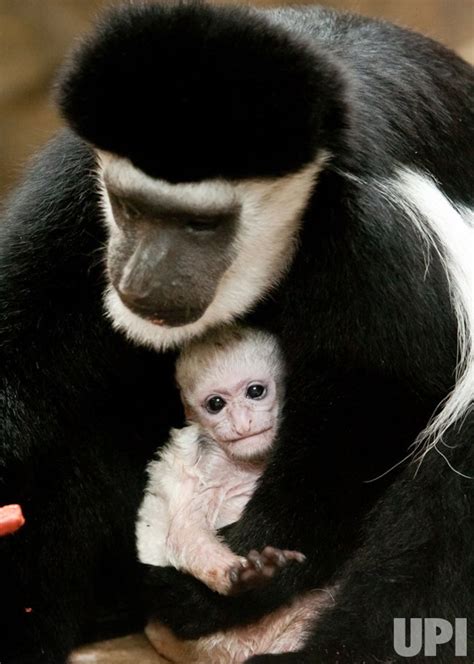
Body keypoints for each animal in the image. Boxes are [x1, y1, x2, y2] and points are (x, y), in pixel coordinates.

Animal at [135, 326, 306, 596]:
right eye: (216, 404)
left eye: (255, 391)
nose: (241, 423)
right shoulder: (211, 466)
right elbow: (186, 532)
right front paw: (241, 576)